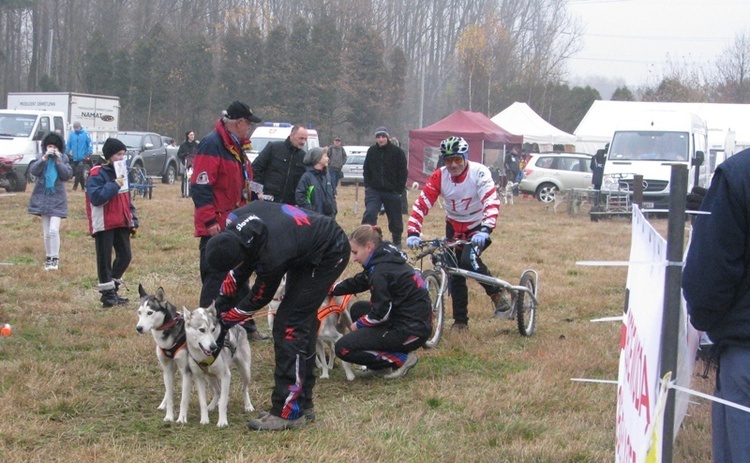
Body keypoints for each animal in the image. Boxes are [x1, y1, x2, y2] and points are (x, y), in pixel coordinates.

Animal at [137, 284, 192, 422]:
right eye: (139, 312)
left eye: (150, 312)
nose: (138, 328)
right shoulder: (167, 368)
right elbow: (171, 395)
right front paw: (169, 416)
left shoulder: (186, 370)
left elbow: (184, 399)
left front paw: (181, 419)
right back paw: (163, 404)